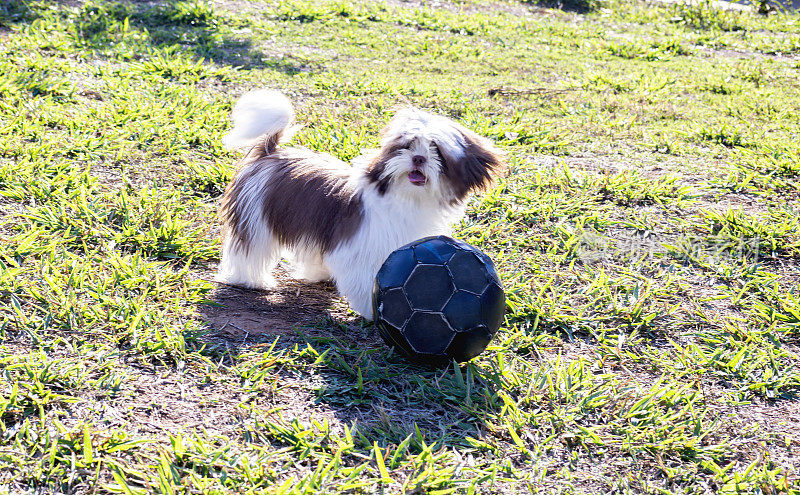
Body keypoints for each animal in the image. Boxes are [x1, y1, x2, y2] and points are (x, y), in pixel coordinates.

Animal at [216, 90, 504, 320]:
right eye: (407, 146)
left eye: (437, 150)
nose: (419, 158)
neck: (407, 199)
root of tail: (270, 151)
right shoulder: (361, 248)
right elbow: (365, 279)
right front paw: (373, 310)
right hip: (256, 216)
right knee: (250, 248)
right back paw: (249, 279)